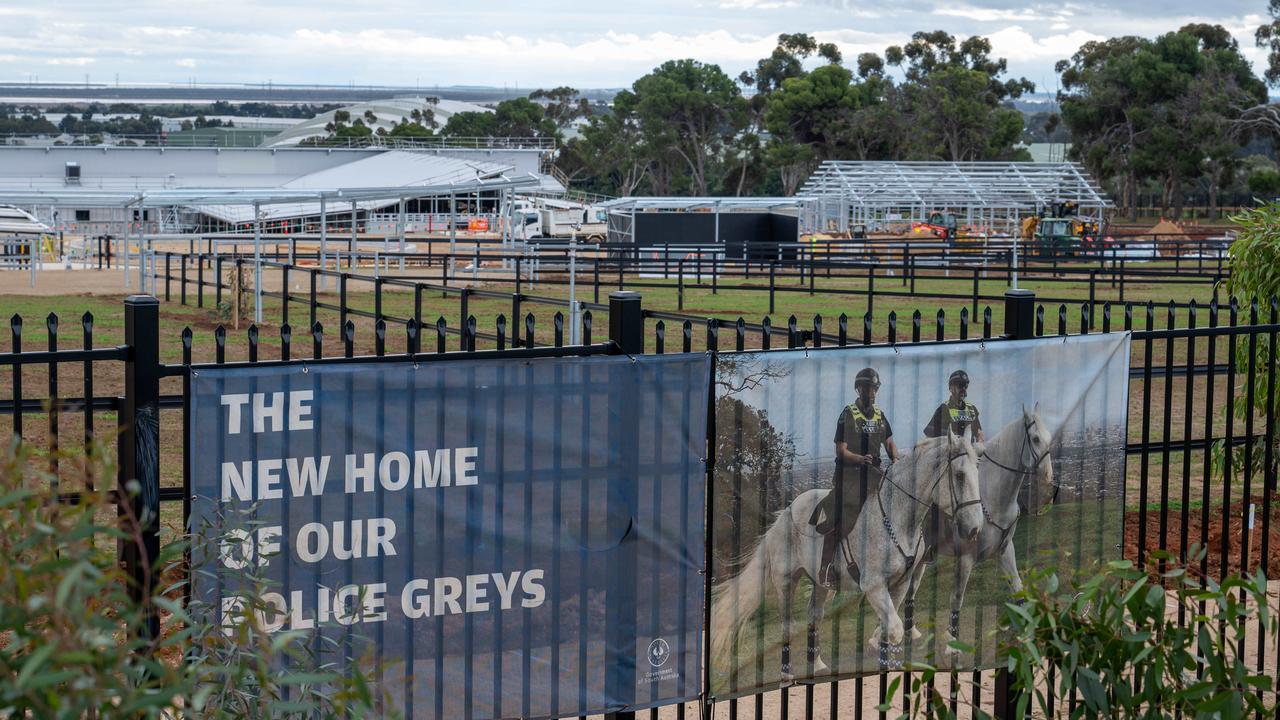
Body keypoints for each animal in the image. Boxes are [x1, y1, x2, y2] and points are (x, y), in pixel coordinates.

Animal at [706, 430, 983, 676]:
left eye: (977, 471)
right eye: (959, 475)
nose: (974, 528)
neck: (897, 518)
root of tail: (785, 513)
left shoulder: (900, 585)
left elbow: (888, 629)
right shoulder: (873, 586)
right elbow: (893, 629)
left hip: (821, 584)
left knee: (814, 615)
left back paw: (817, 665)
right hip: (786, 581)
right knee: (787, 625)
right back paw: (787, 674)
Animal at [875, 399, 1054, 653]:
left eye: (1049, 437)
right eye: (1036, 439)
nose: (1049, 478)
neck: (993, 497)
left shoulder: (1005, 551)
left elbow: (1018, 587)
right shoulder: (966, 558)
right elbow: (956, 598)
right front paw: (952, 641)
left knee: (910, 590)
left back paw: (910, 631)